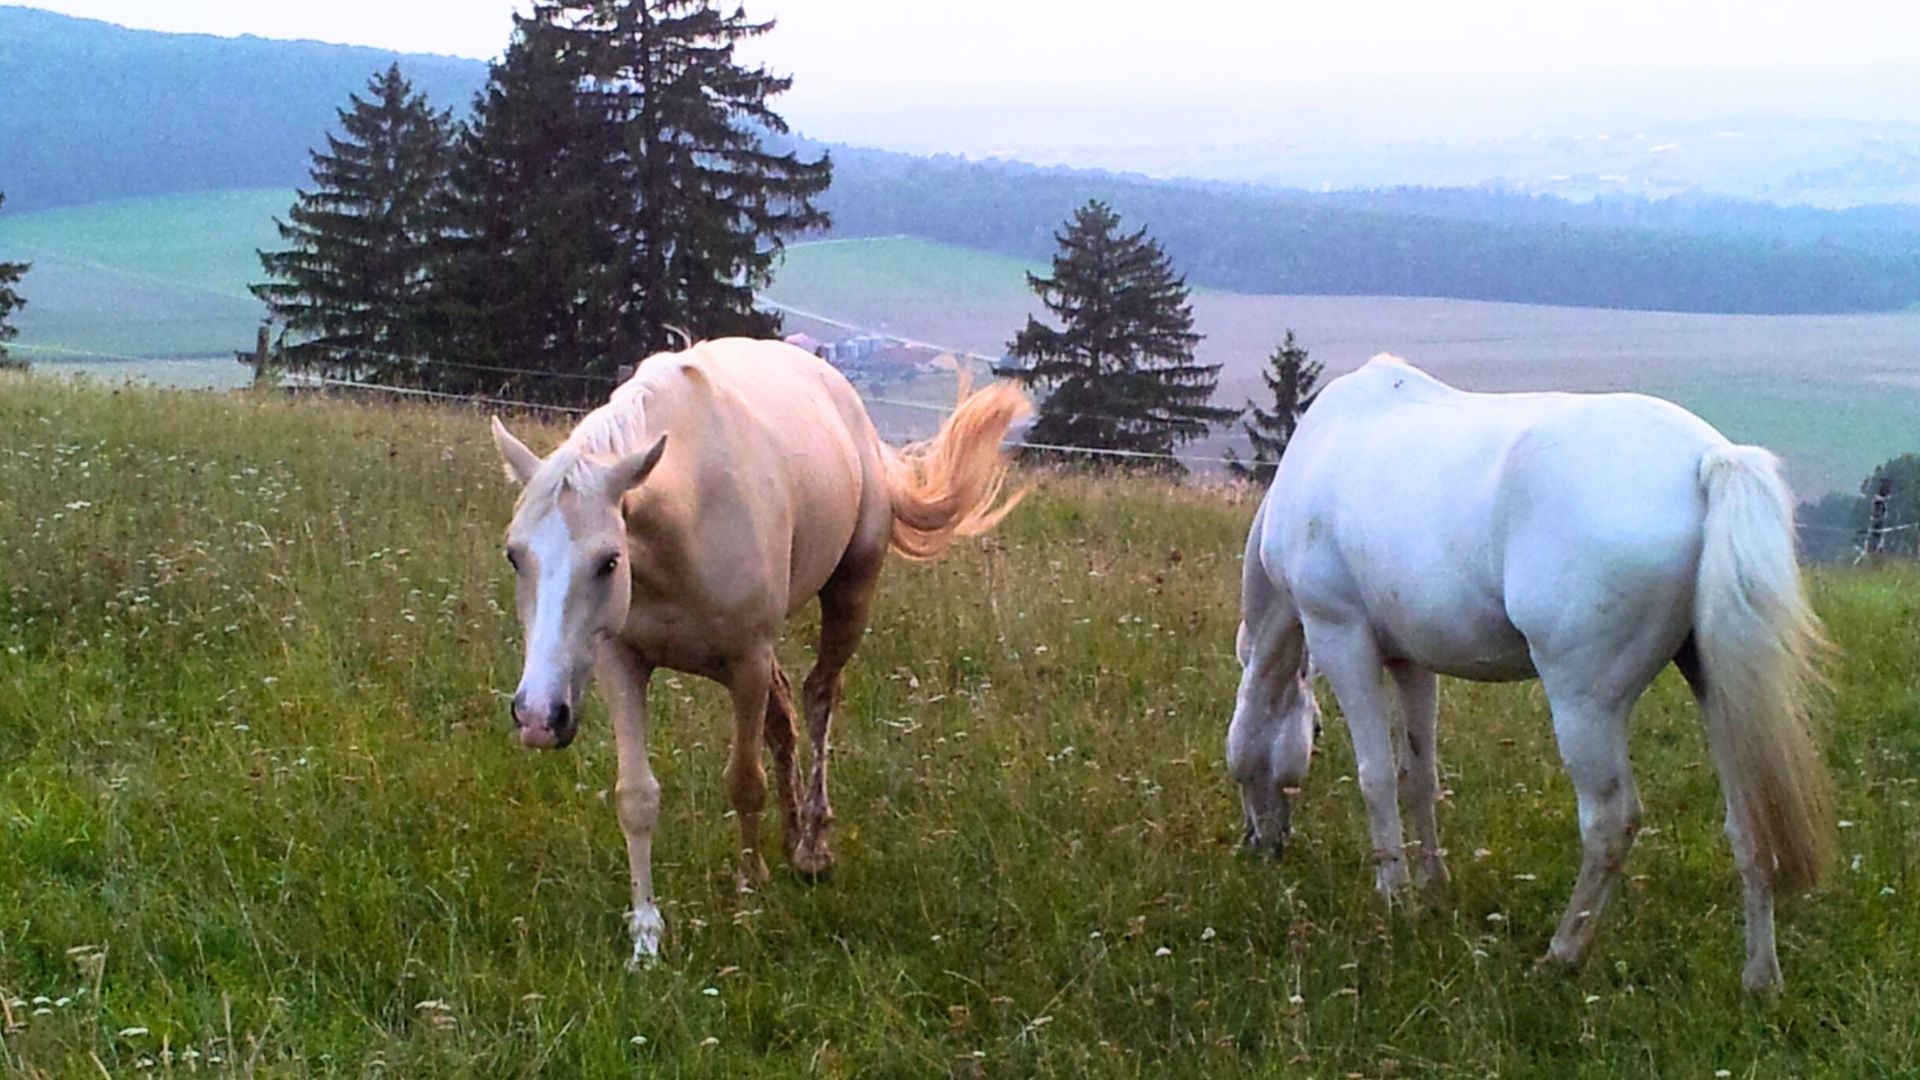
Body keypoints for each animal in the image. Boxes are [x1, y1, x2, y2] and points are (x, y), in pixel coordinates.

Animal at [491, 334, 1036, 957]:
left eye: (608, 560)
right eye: (515, 555)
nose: (538, 716)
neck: (685, 518)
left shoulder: (746, 664)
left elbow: (744, 781)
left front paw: (749, 891)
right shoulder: (620, 663)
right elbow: (637, 796)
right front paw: (646, 937)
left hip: (850, 594)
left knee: (819, 696)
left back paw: (812, 848)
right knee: (785, 718)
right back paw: (794, 830)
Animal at [1228, 355, 1827, 991]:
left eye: (1313, 732)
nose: (1261, 843)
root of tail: (1708, 459)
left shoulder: (1341, 638)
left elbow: (1376, 778)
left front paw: (1393, 899)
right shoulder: (1412, 663)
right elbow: (1418, 777)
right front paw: (1432, 891)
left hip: (1584, 705)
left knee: (1610, 823)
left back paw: (1561, 954)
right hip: (1717, 693)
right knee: (1749, 825)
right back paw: (1760, 979)